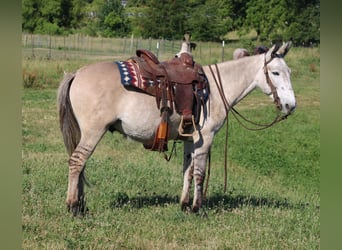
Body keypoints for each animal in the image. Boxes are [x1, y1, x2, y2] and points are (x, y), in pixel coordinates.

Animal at [57, 40, 296, 215]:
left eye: (289, 72)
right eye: (275, 73)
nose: (290, 105)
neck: (215, 90)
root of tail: (76, 73)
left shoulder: (191, 140)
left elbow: (187, 171)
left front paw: (184, 204)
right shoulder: (206, 139)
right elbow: (199, 173)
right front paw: (197, 208)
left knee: (81, 164)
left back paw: (81, 204)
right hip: (93, 131)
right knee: (77, 161)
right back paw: (72, 207)